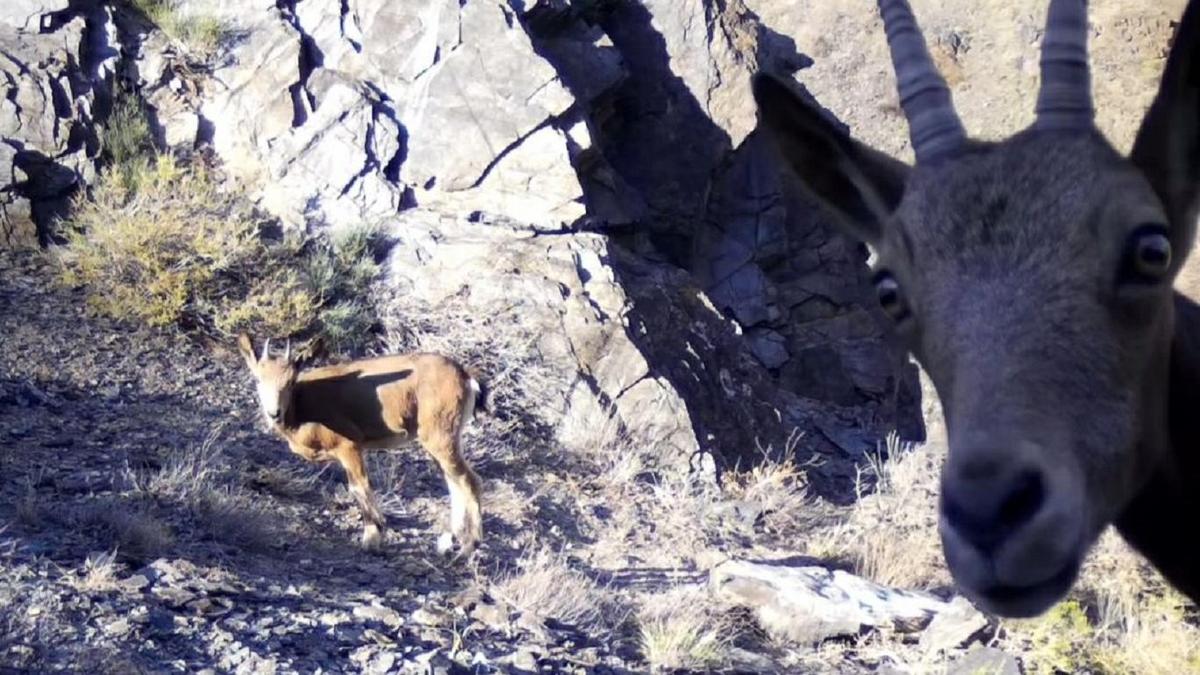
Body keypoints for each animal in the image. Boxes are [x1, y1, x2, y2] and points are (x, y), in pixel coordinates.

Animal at [236, 333, 484, 554]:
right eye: (258, 379)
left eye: (290, 382)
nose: (274, 413)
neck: (301, 408)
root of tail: (466, 378)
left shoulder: (349, 446)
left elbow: (359, 486)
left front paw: (372, 538)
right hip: (439, 439)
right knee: (453, 480)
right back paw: (449, 542)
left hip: (440, 434)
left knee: (469, 480)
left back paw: (469, 546)